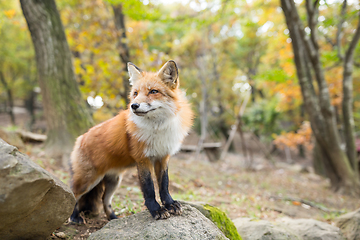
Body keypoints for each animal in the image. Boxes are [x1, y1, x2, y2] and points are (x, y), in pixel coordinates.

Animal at [70, 60, 194, 223]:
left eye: (153, 91)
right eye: (135, 93)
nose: (133, 106)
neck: (157, 128)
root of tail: (80, 138)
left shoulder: (163, 156)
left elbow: (164, 184)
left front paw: (170, 204)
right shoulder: (143, 159)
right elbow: (149, 188)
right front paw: (156, 210)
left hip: (114, 181)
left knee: (105, 200)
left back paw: (113, 218)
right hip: (88, 179)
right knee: (73, 193)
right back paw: (74, 217)